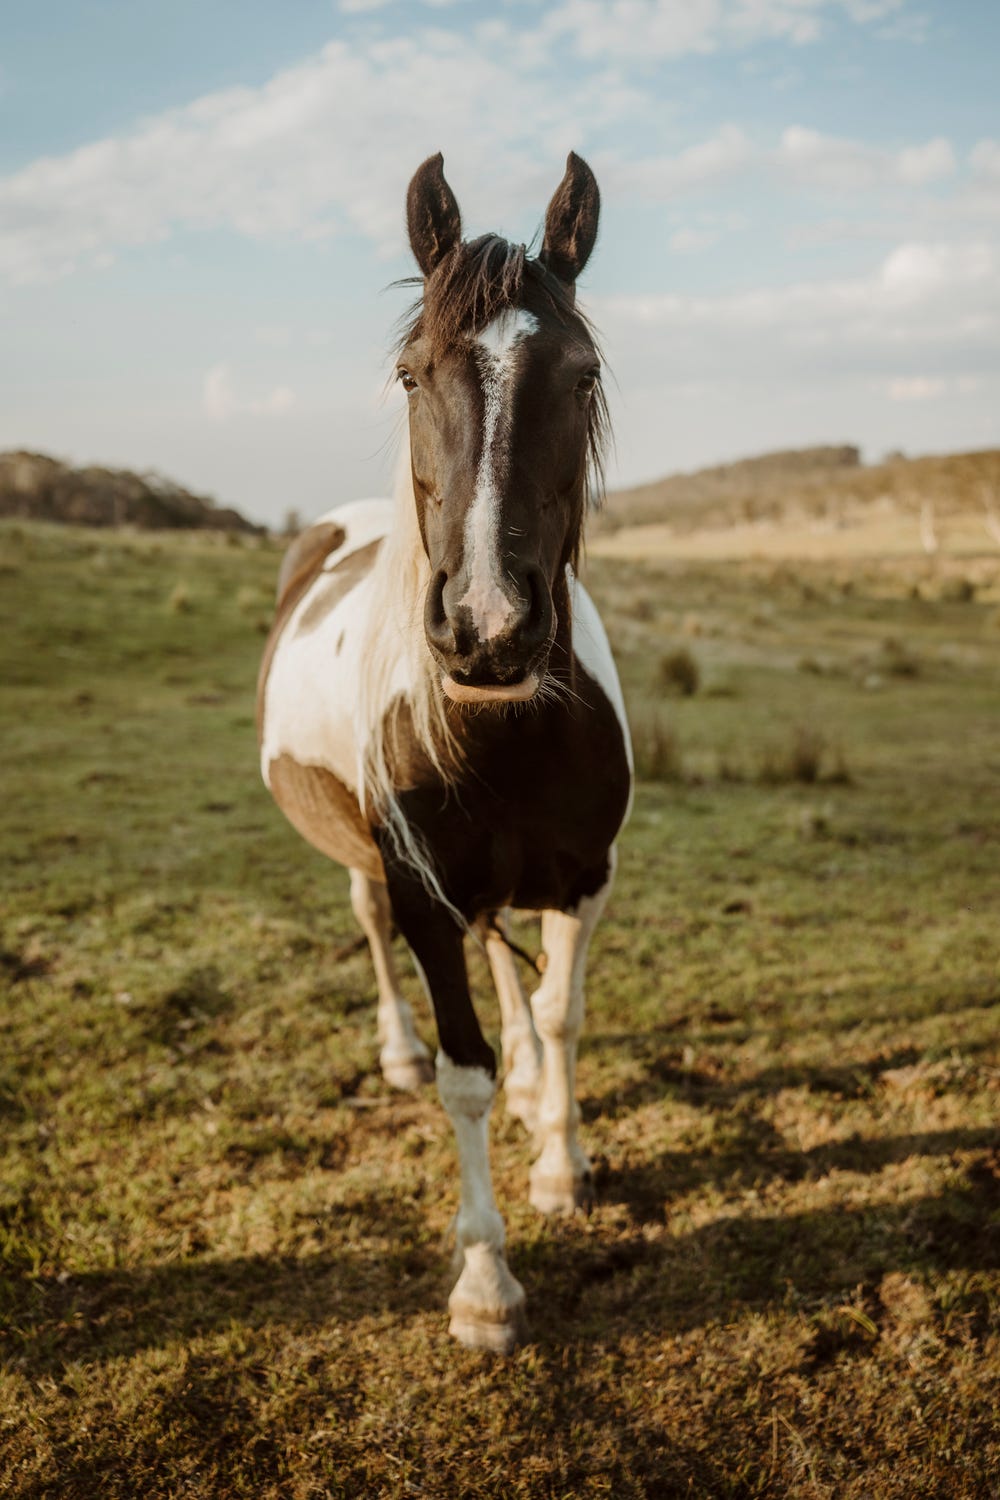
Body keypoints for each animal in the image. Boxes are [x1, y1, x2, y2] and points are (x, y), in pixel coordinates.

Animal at [257, 151, 633, 1352]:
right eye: (410, 373)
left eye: (582, 376)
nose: (488, 626)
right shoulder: (423, 892)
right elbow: (462, 1074)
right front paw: (485, 1286)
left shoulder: (585, 877)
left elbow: (560, 1011)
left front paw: (559, 1160)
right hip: (368, 867)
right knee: (373, 932)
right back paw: (394, 1052)